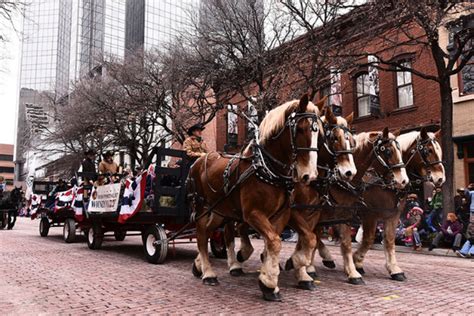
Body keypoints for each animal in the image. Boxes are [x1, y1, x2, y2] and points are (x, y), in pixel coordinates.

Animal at [314, 128, 444, 282]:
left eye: (439, 150)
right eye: (428, 150)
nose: (441, 178)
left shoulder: (393, 214)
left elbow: (389, 240)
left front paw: (394, 269)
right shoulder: (369, 214)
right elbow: (368, 239)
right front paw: (357, 262)